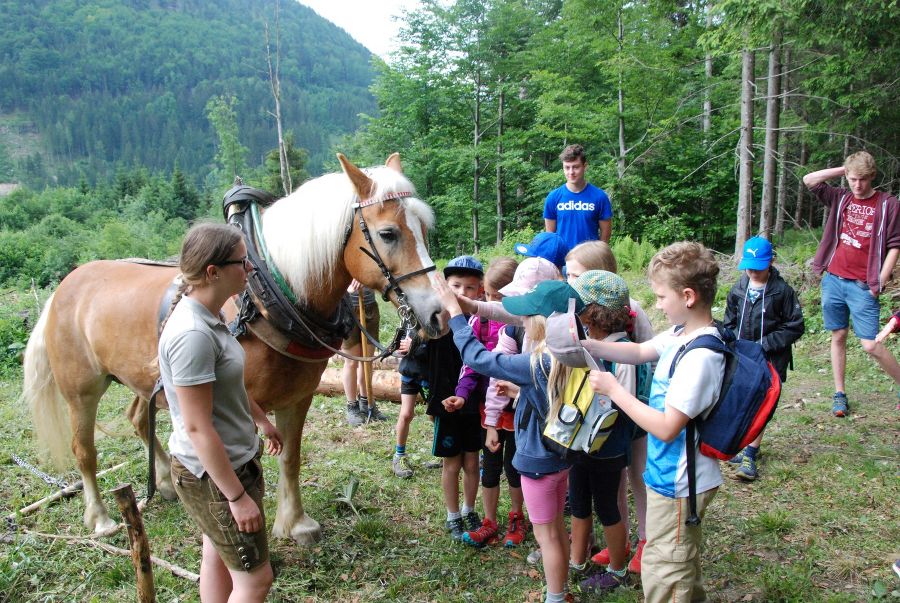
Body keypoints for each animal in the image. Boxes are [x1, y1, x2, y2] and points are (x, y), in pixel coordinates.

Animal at [20, 153, 442, 544]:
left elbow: (290, 457)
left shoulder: (298, 397)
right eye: (388, 233)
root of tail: (65, 286)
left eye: (423, 228)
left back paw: (165, 483)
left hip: (145, 379)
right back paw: (101, 517)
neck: (264, 296)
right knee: (84, 450)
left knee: (138, 419)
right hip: (82, 390)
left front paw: (294, 523)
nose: (437, 312)